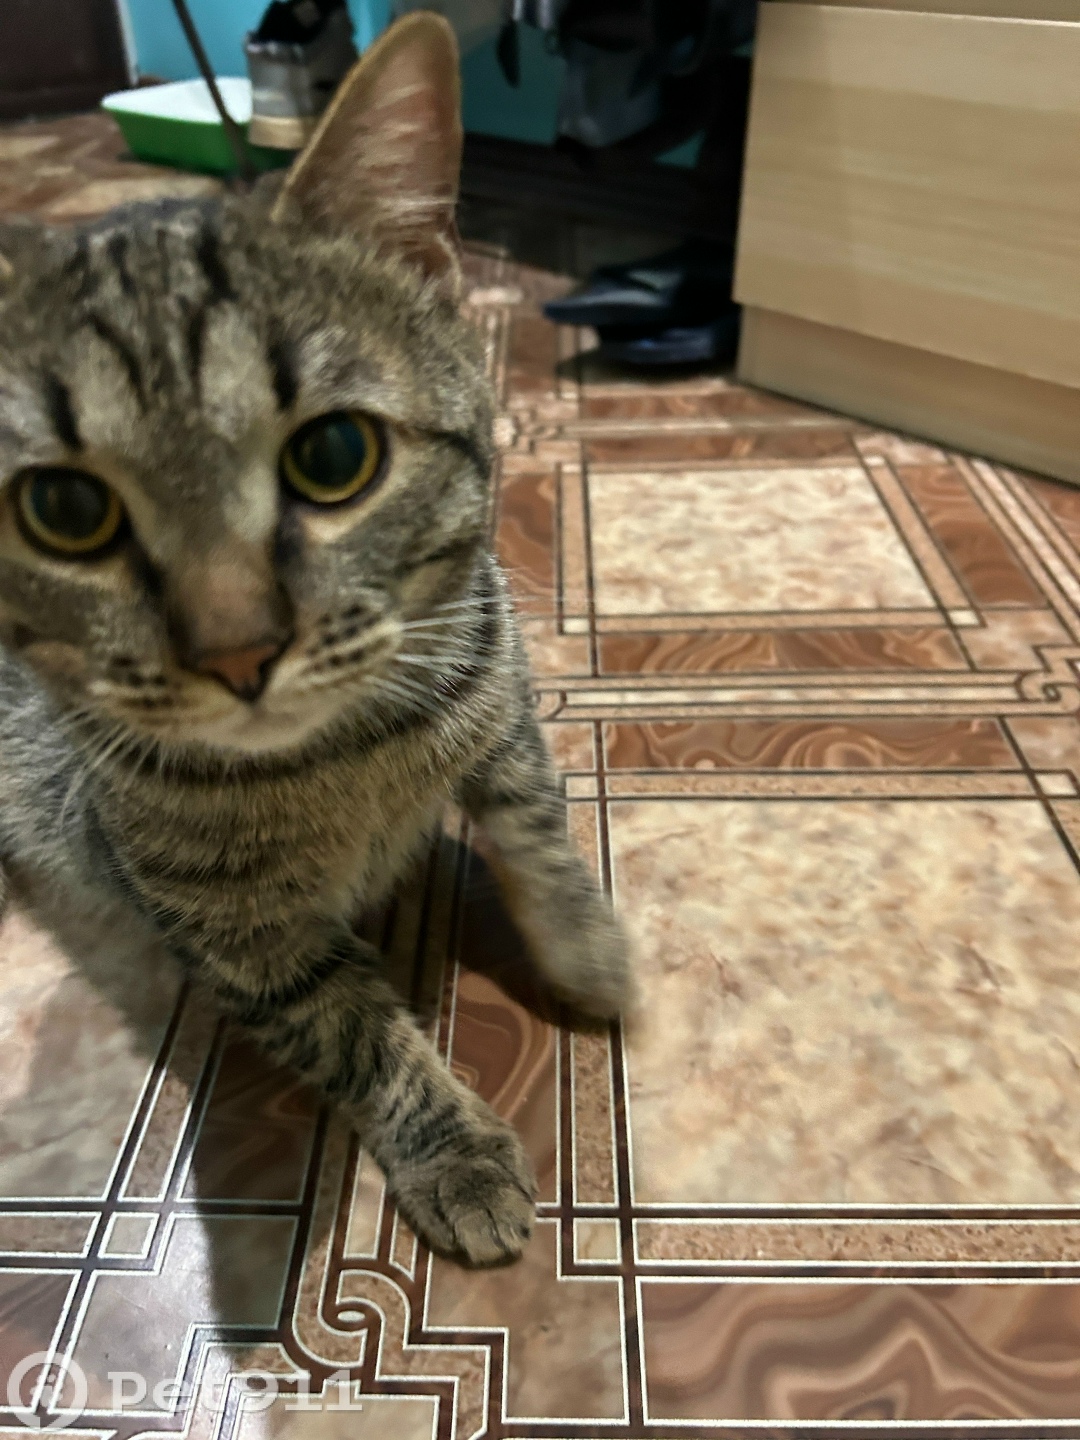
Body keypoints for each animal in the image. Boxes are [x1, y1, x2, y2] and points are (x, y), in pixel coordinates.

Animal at [0, 13, 632, 1266]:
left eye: (335, 455)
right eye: (62, 508)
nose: (237, 653)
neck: (345, 757)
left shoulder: (492, 676)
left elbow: (534, 825)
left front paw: (588, 947)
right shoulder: (235, 931)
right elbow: (351, 1026)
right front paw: (452, 1146)